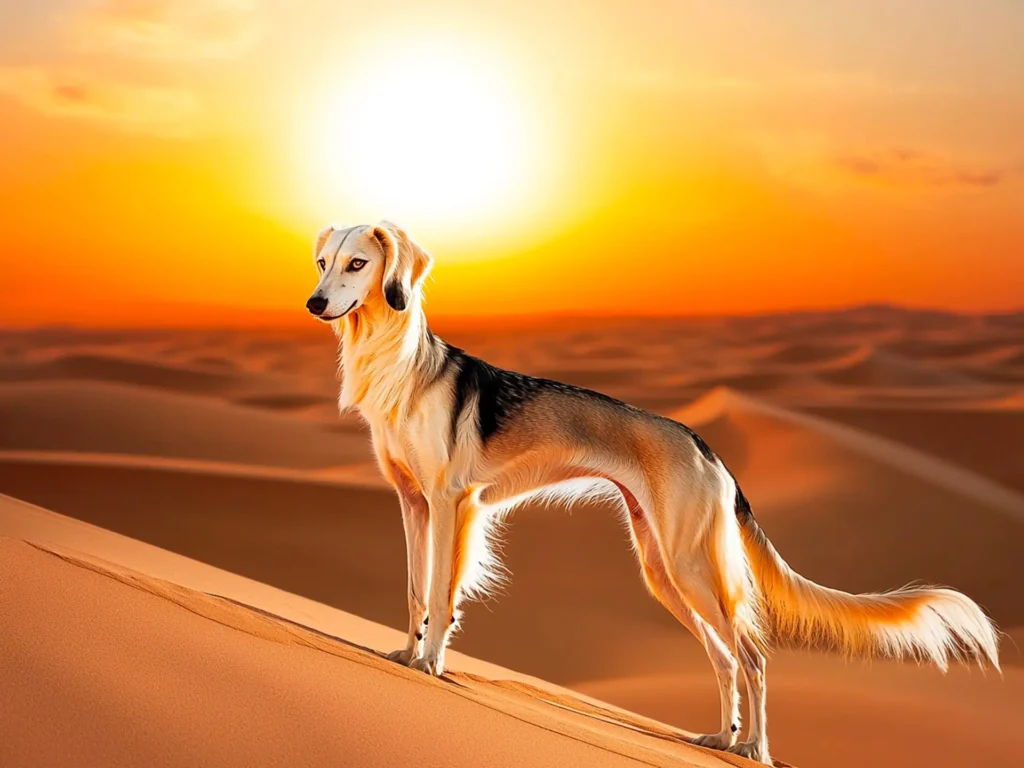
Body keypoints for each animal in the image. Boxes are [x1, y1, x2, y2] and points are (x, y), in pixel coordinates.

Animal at [305, 221, 999, 765]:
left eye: (358, 264)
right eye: (322, 262)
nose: (314, 302)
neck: (400, 367)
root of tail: (705, 445)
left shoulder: (453, 503)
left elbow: (441, 596)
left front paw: (431, 667)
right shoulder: (413, 504)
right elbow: (414, 590)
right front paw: (405, 655)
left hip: (688, 563)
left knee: (752, 655)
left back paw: (756, 749)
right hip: (662, 567)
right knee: (725, 658)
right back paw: (723, 739)